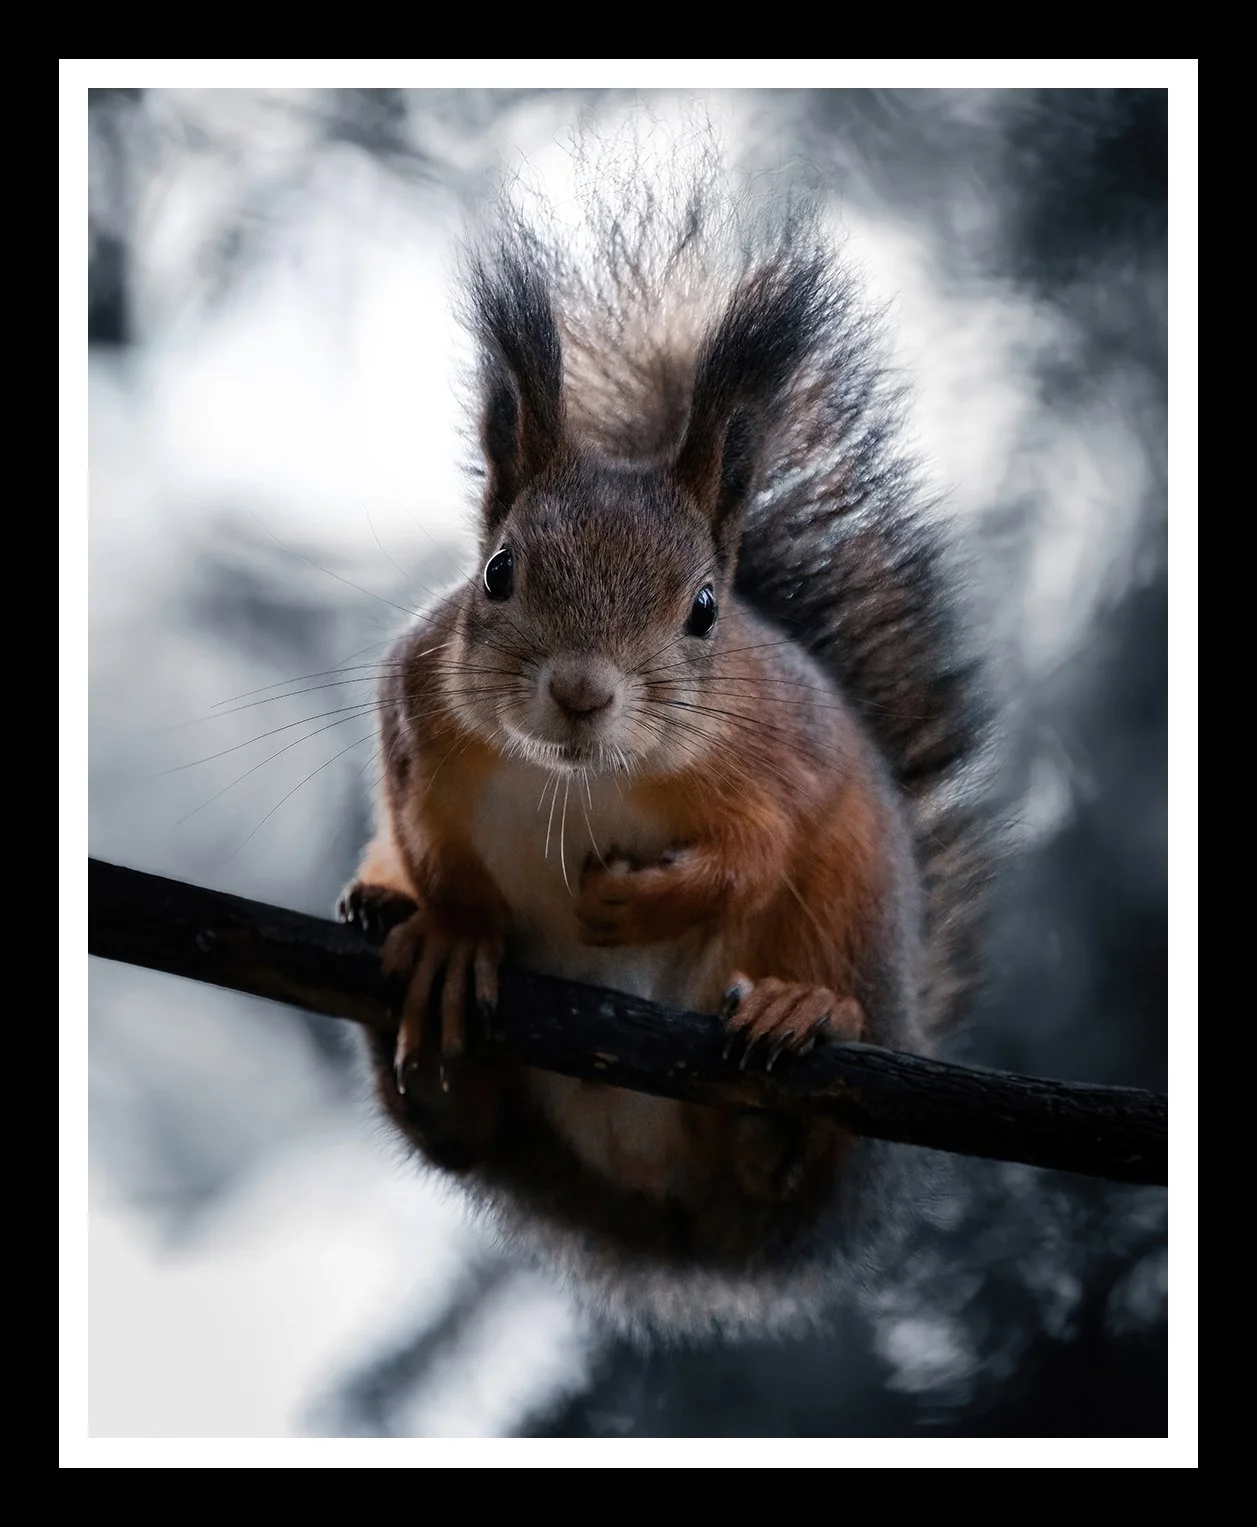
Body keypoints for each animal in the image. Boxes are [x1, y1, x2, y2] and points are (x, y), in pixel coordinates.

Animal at [337, 143, 991, 1336]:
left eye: (703, 610)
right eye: (498, 571)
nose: (581, 691)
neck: (577, 779)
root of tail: (665, 1210)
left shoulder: (782, 756)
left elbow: (755, 853)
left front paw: (638, 903)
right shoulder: (413, 711)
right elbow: (428, 833)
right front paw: (456, 931)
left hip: (851, 907)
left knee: (788, 1151)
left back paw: (798, 1031)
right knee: (458, 1134)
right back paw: (404, 967)